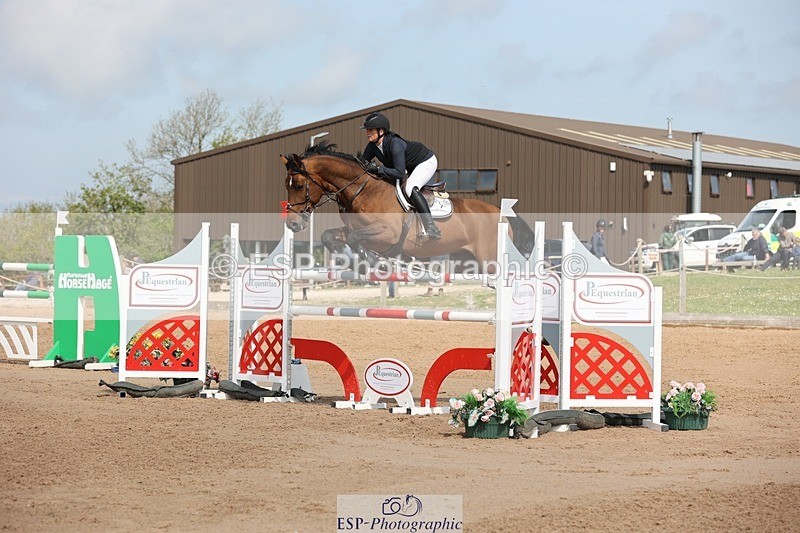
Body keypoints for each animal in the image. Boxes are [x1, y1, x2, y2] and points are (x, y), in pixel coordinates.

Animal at [280, 141, 533, 271]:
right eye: (286, 185)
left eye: (299, 185)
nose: (292, 224)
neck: (362, 190)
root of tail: (503, 213)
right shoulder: (355, 228)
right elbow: (331, 235)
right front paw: (341, 253)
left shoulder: (387, 234)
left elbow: (355, 239)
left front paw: (373, 260)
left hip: (489, 260)